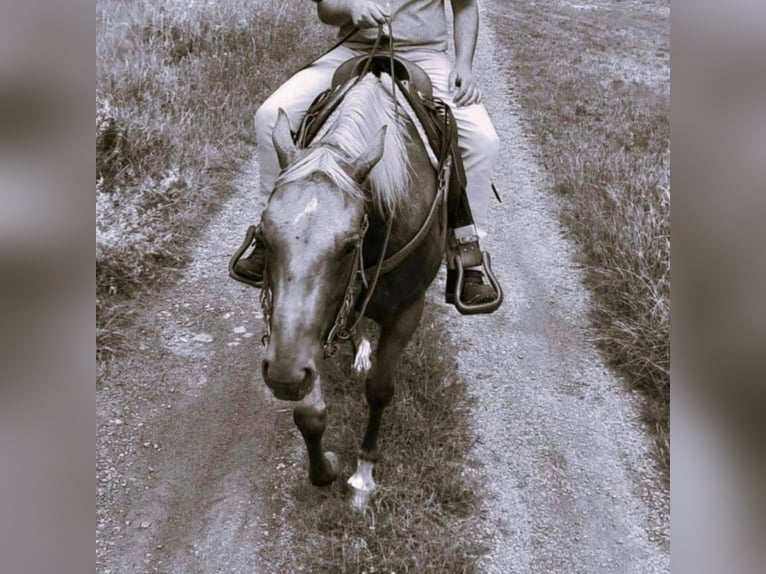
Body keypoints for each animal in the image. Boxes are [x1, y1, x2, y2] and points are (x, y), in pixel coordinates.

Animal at [258, 73, 444, 512]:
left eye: (348, 246)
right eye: (264, 237)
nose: (283, 376)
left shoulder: (408, 310)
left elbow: (379, 390)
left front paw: (363, 472)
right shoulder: (304, 331)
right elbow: (309, 413)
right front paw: (324, 467)